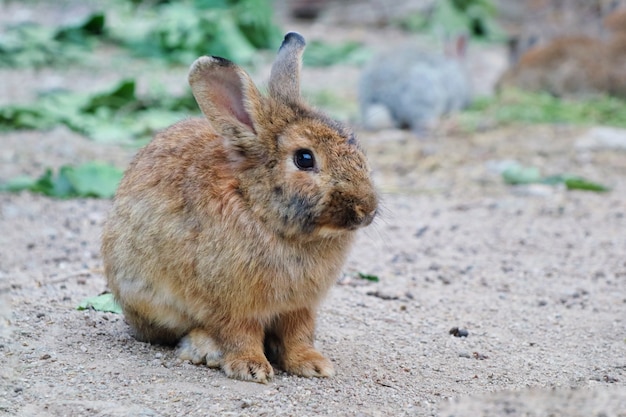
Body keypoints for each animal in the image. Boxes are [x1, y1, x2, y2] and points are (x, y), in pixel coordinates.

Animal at [100, 32, 378, 384]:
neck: (258, 208)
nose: (366, 210)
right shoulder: (232, 304)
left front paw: (313, 365)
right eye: (304, 158)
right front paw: (251, 368)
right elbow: (239, 333)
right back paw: (205, 349)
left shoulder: (299, 306)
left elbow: (298, 335)